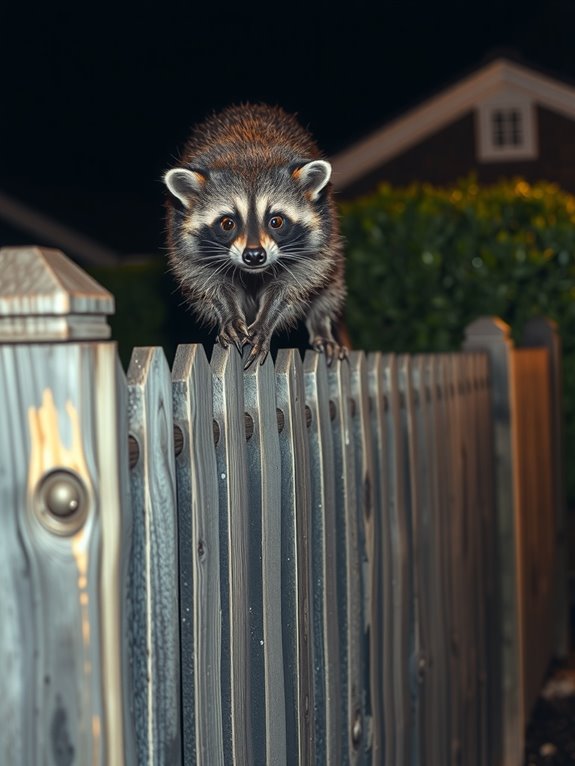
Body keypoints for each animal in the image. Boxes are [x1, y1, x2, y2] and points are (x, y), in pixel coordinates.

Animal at [163, 103, 346, 367]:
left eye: (276, 221)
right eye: (227, 223)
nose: (254, 256)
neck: (248, 154)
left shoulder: (319, 241)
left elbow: (295, 283)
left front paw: (267, 320)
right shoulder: (182, 243)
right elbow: (205, 279)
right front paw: (228, 312)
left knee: (330, 284)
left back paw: (321, 325)